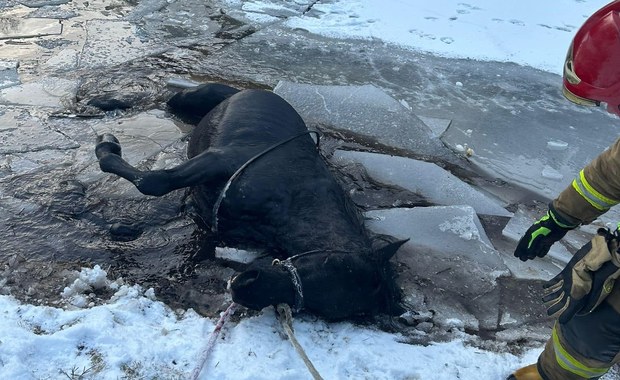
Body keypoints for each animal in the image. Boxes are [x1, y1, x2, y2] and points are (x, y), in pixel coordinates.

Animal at [95, 83, 406, 320]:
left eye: (326, 308)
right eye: (331, 266)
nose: (243, 287)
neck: (294, 198)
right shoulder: (216, 160)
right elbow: (154, 182)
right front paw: (106, 148)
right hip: (191, 98)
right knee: (164, 98)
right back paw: (105, 106)